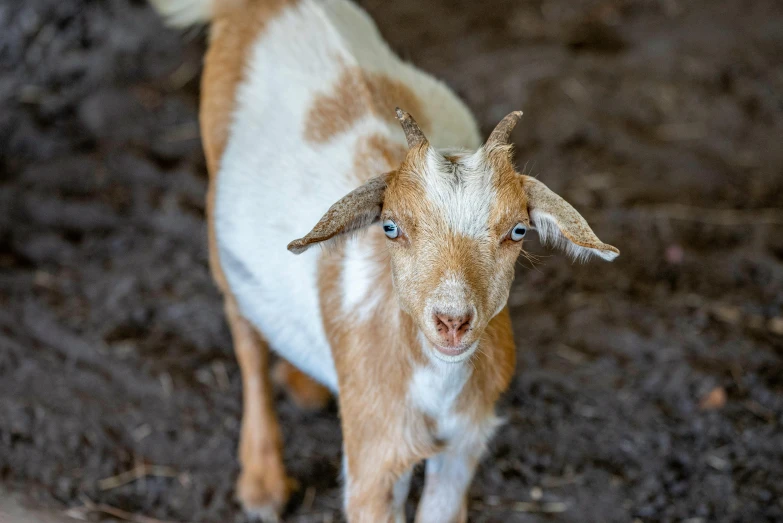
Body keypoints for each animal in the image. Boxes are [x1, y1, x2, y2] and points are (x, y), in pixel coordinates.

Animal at [152, 0, 620, 520]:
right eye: (390, 227)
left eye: (517, 231)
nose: (452, 321)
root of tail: (262, 7)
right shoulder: (372, 456)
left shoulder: (464, 445)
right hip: (220, 227)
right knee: (245, 331)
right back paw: (262, 483)